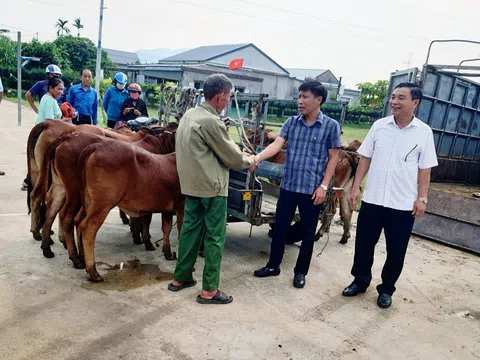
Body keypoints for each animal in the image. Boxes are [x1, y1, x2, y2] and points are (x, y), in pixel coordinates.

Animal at [76, 136, 183, 280]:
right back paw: (93, 271)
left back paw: (82, 259)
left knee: (77, 222)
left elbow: (166, 228)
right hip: (102, 204)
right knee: (87, 228)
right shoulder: (182, 206)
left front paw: (168, 253)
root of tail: (96, 146)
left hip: (87, 202)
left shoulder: (167, 209)